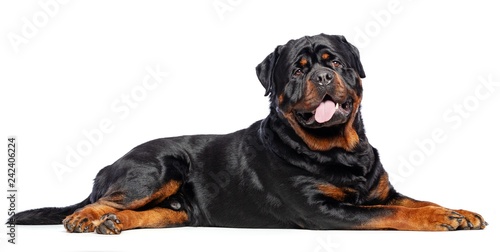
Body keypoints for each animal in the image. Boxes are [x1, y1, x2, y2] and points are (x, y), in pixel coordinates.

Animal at [8, 34, 484, 233]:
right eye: (298, 70)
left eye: (335, 60)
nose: (324, 76)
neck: (340, 150)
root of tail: (108, 164)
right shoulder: (325, 210)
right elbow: (395, 214)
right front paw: (442, 220)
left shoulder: (380, 192)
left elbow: (415, 201)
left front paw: (459, 210)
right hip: (158, 167)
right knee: (105, 200)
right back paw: (84, 218)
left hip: (178, 209)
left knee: (148, 213)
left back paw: (110, 224)